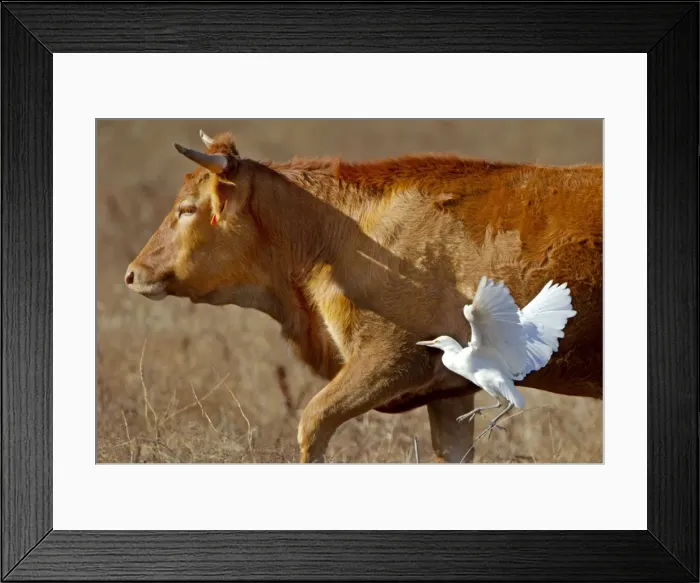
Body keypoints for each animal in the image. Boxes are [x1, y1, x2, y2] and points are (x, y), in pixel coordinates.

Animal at [125, 130, 602, 463]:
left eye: (188, 208)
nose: (133, 274)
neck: (340, 233)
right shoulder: (449, 392)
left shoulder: (389, 360)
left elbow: (312, 423)